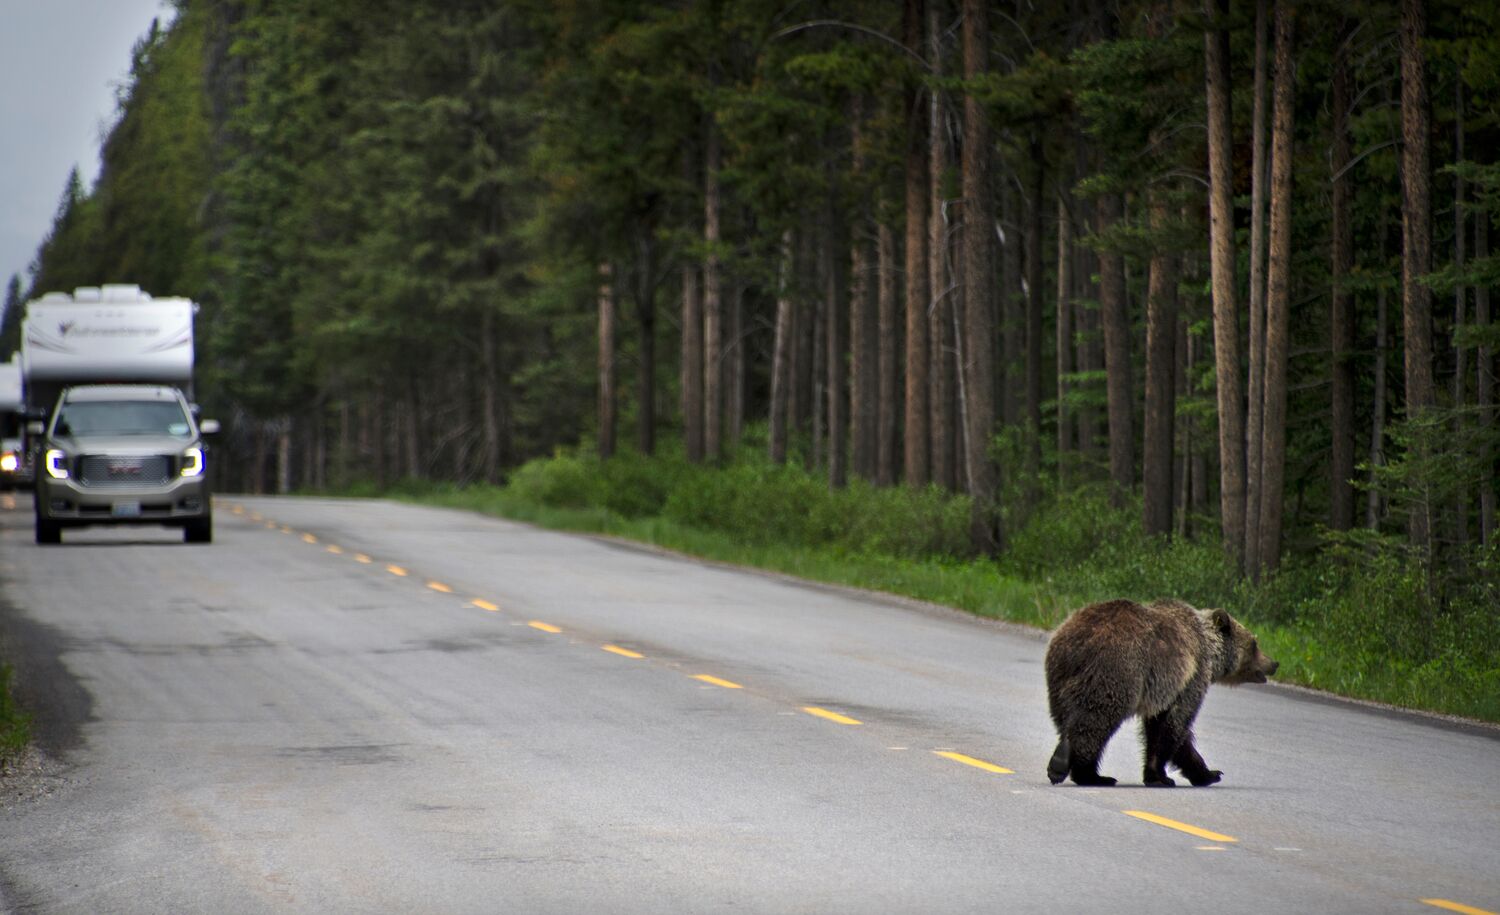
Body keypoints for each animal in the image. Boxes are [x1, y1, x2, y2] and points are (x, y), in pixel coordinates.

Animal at [1044, 598, 1278, 787]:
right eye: (1254, 643)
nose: (1274, 663)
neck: (1210, 653)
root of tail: (1078, 642)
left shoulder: (1164, 690)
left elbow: (1165, 728)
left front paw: (1207, 773)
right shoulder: (1190, 678)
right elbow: (1174, 726)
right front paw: (1168, 776)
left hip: (1060, 675)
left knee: (1069, 717)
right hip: (1118, 669)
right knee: (1097, 719)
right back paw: (1086, 773)